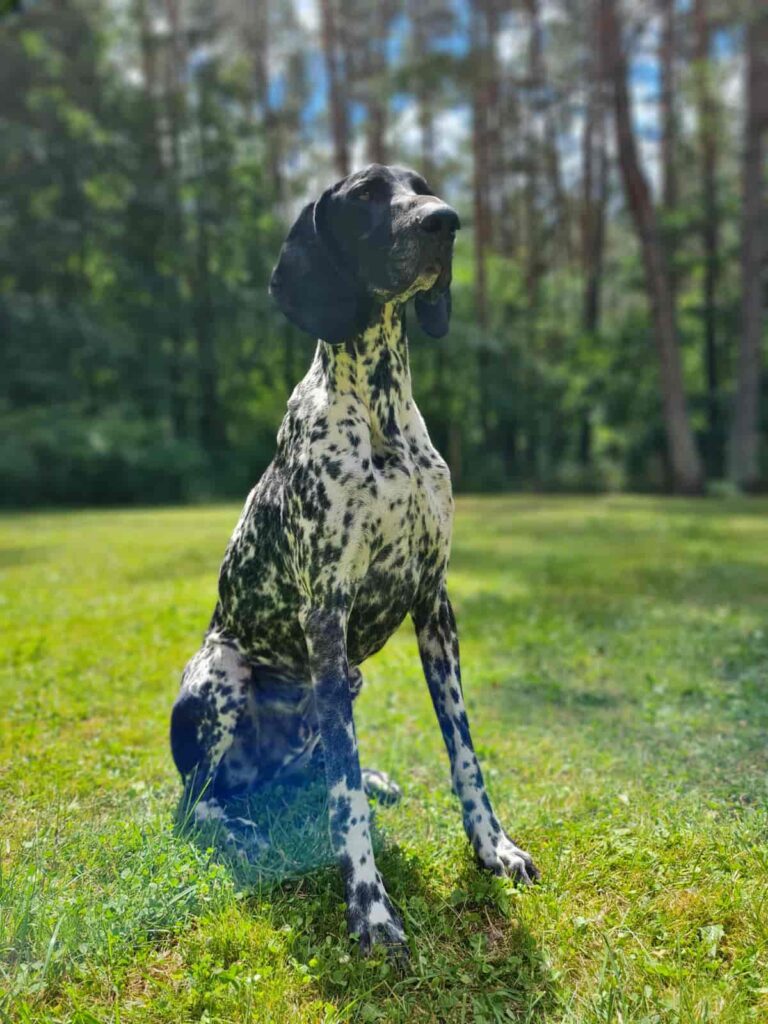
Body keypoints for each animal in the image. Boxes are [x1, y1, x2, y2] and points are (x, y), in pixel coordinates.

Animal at [171, 163, 536, 954]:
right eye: (366, 196)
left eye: (422, 184)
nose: (445, 220)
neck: (380, 412)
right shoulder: (326, 614)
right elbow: (343, 797)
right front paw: (369, 907)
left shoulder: (435, 605)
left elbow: (464, 754)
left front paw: (492, 848)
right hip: (223, 669)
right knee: (198, 802)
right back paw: (241, 828)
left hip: (346, 682)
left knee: (310, 774)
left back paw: (371, 781)